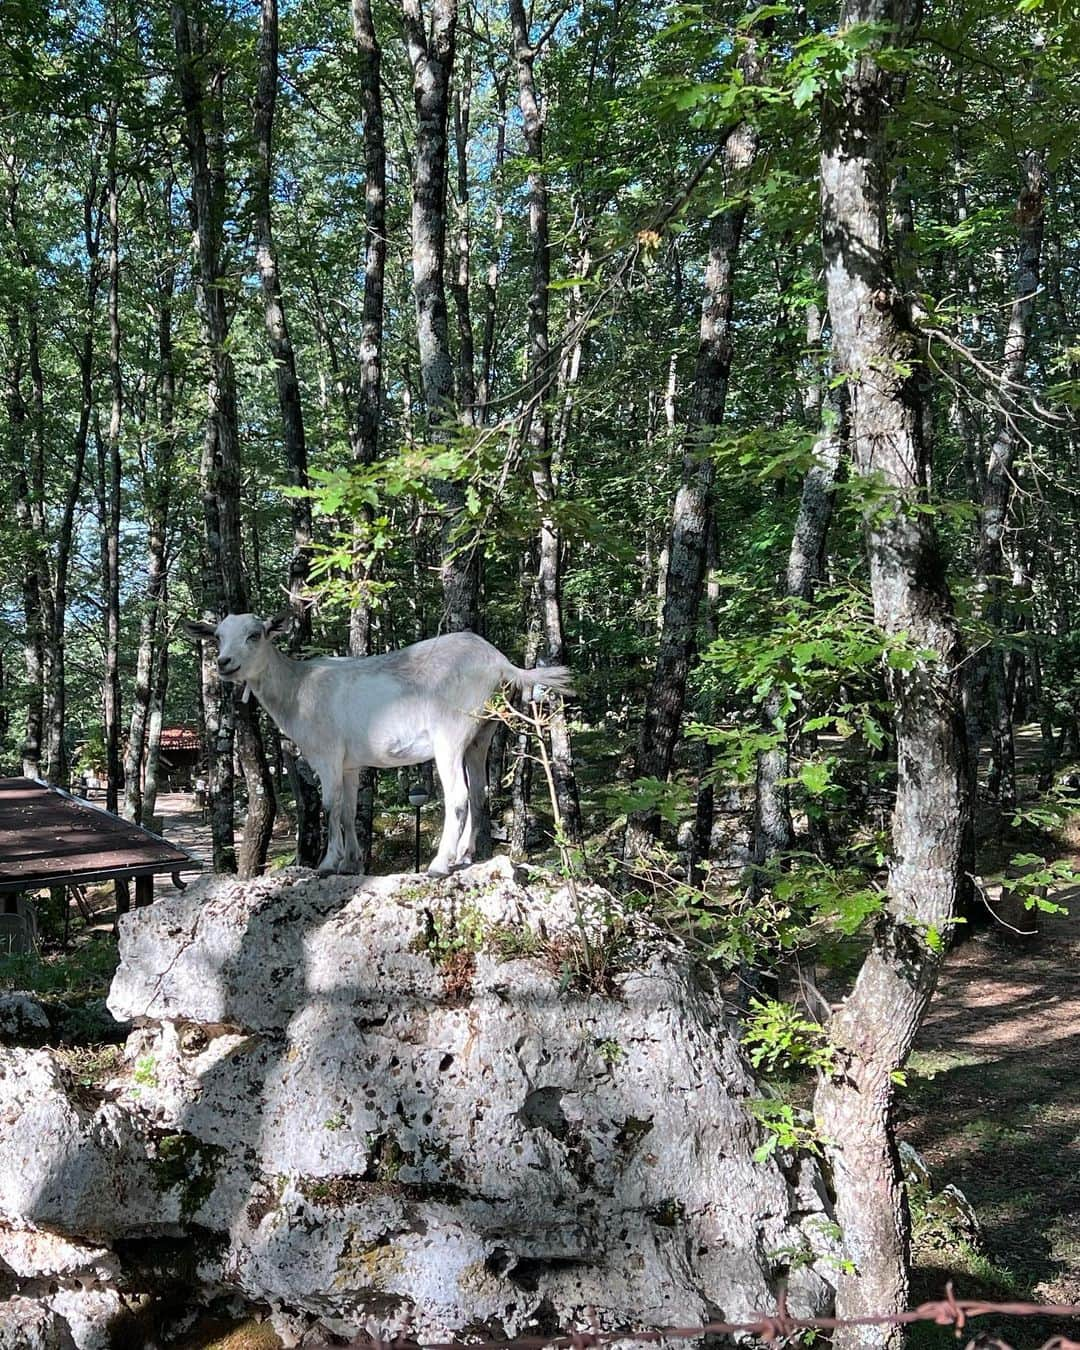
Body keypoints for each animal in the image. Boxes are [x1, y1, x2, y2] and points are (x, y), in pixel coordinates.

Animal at [186, 612, 572, 874]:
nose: (224, 663)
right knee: (480, 791)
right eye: (217, 636)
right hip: (482, 733)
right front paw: (352, 863)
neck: (297, 688)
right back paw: (465, 856)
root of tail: (499, 662)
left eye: (254, 635)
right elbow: (348, 809)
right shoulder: (349, 763)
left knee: (459, 796)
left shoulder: (327, 754)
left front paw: (328, 862)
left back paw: (439, 864)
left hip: (451, 731)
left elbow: (330, 805)